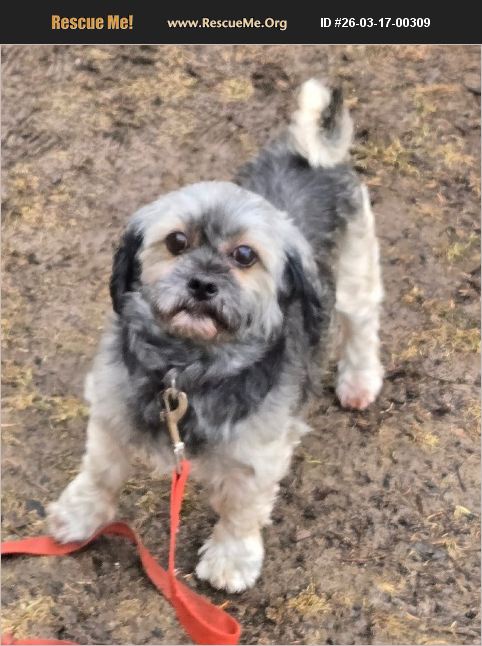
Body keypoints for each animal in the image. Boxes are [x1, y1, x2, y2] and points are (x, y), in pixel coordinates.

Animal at [47, 79, 383, 593]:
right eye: (176, 242)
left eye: (244, 255)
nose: (202, 283)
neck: (187, 367)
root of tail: (310, 157)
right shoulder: (111, 411)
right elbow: (100, 472)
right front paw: (81, 515)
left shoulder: (259, 454)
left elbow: (242, 508)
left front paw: (231, 558)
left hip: (354, 277)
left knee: (363, 327)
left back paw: (359, 381)